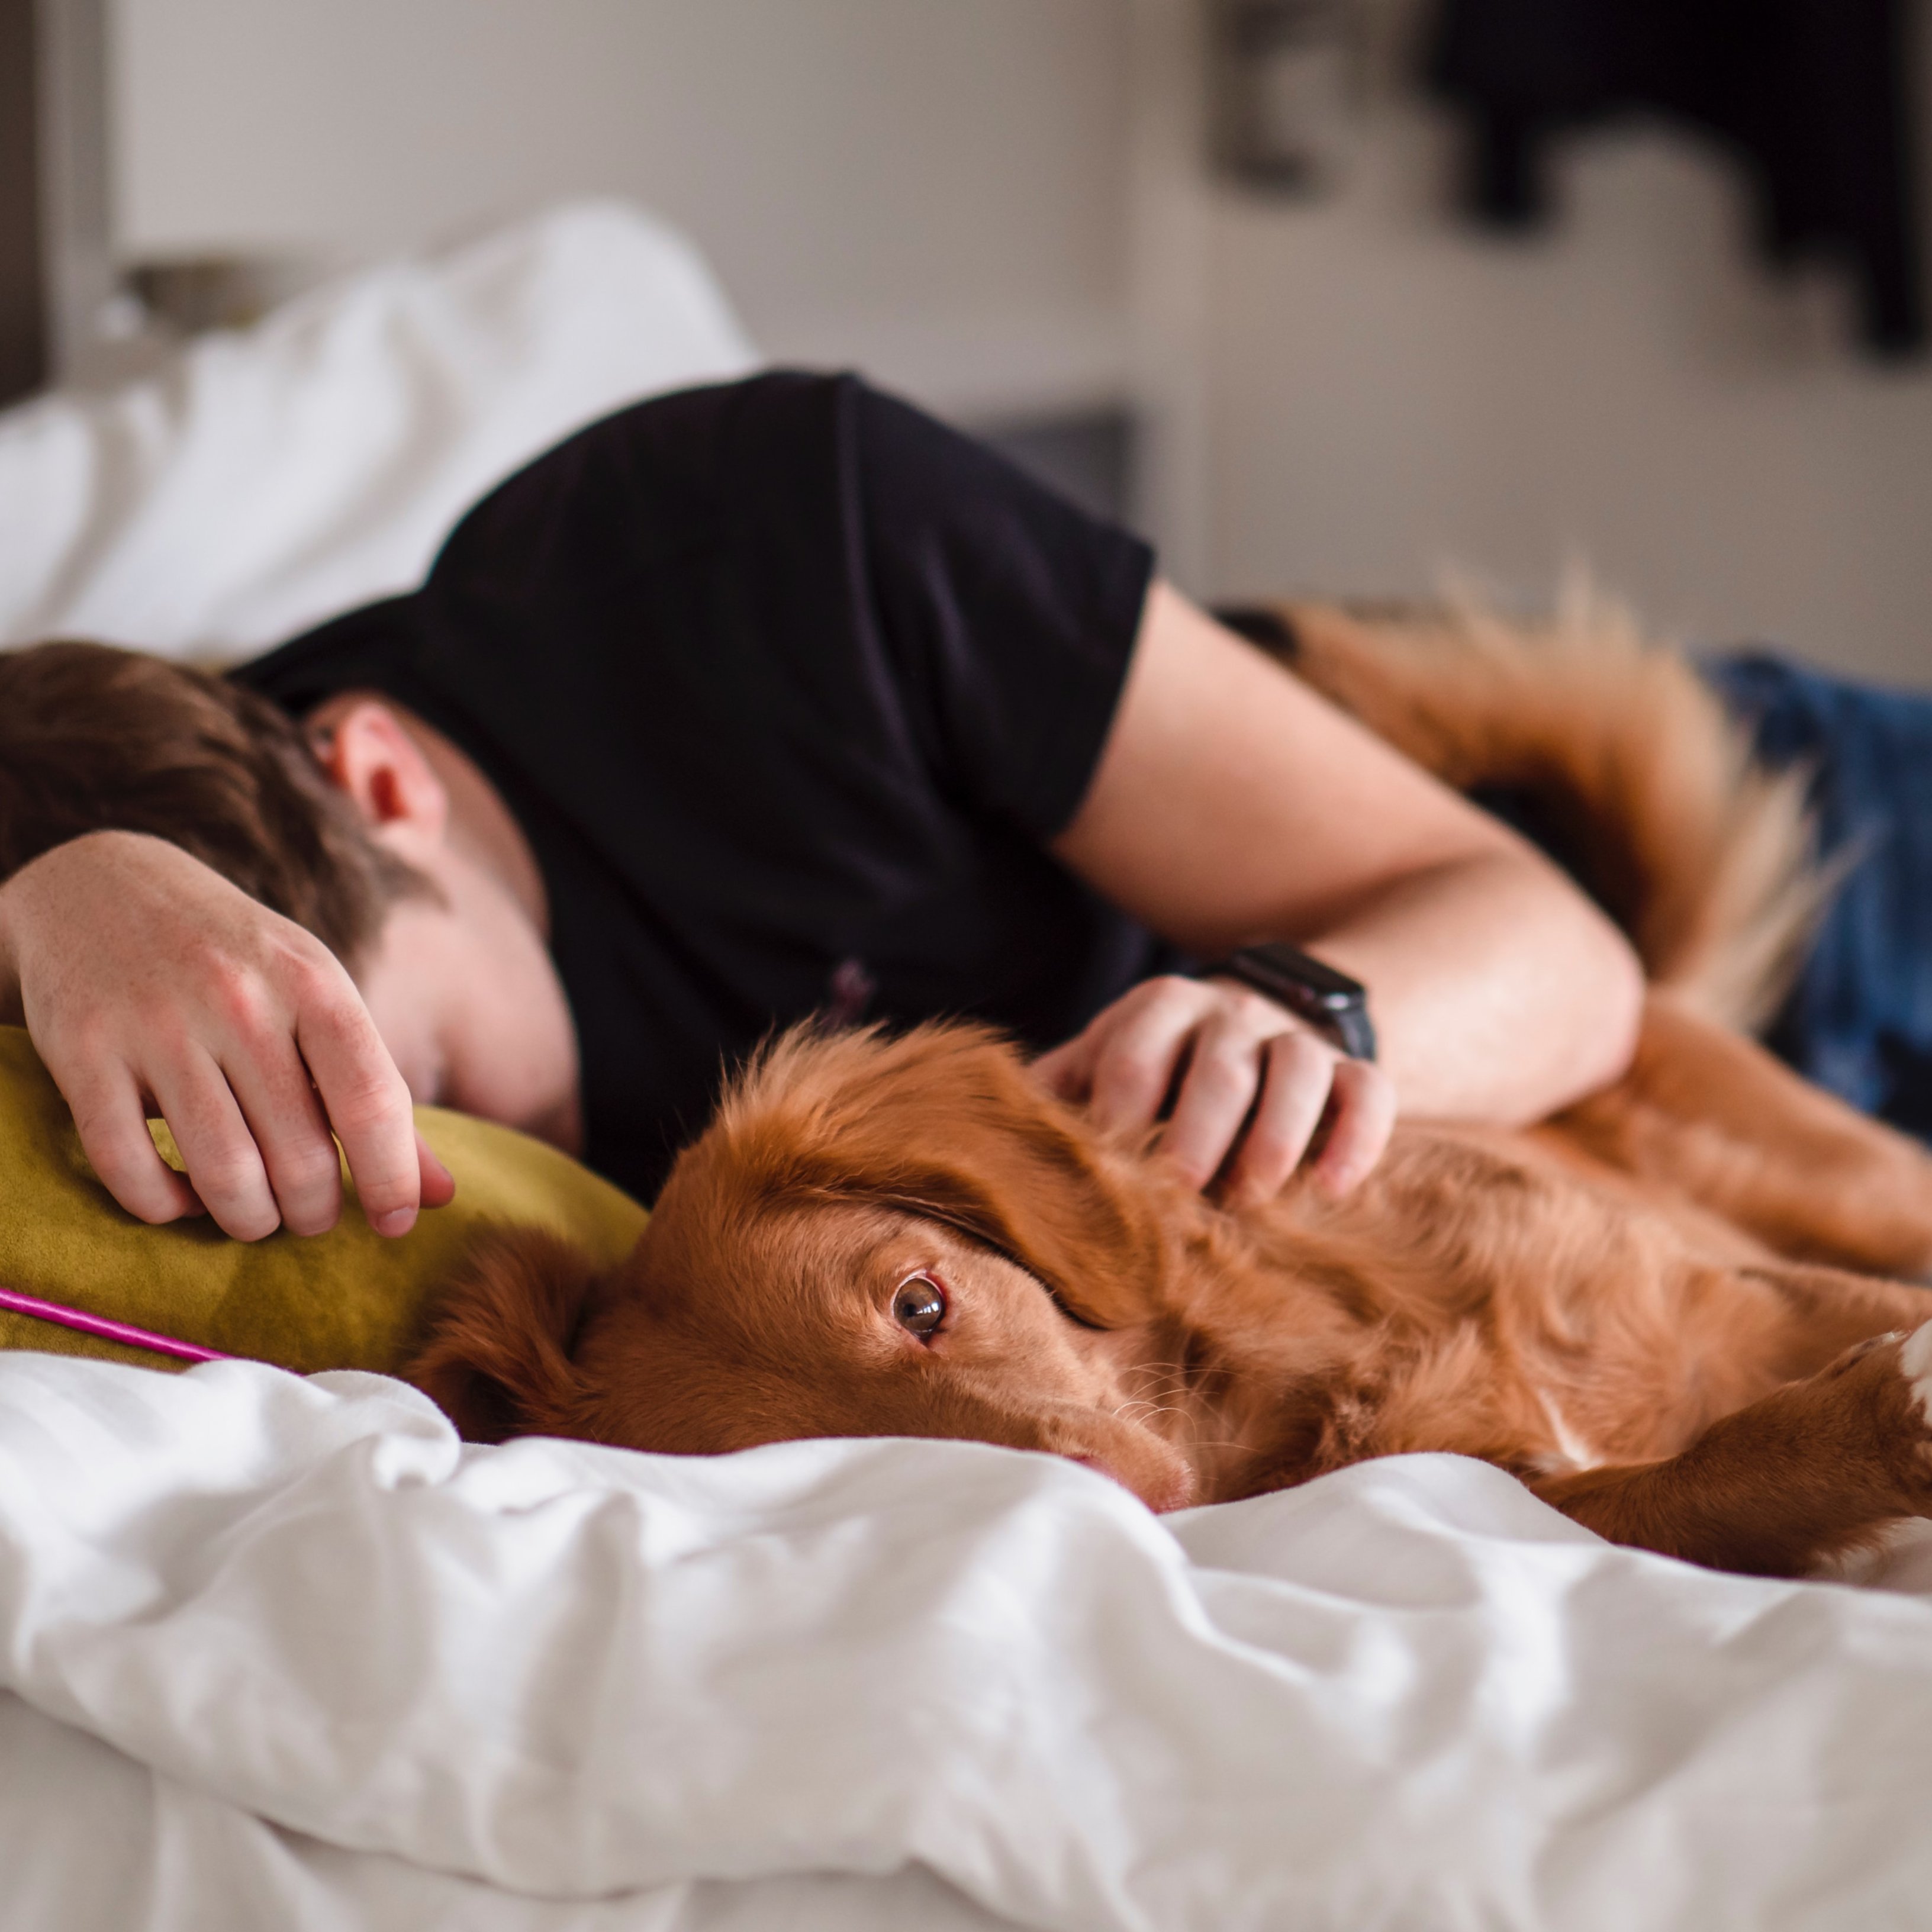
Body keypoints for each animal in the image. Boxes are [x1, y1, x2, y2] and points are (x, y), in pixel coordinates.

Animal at [411, 595, 1932, 1576]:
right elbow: (1707, 1472)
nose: (1125, 1501)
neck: (1302, 1358)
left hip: (1841, 1183)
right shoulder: (1524, 1494)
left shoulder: (1742, 1294)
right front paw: (1875, 1427)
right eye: (832, 1471)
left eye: (922, 1302)